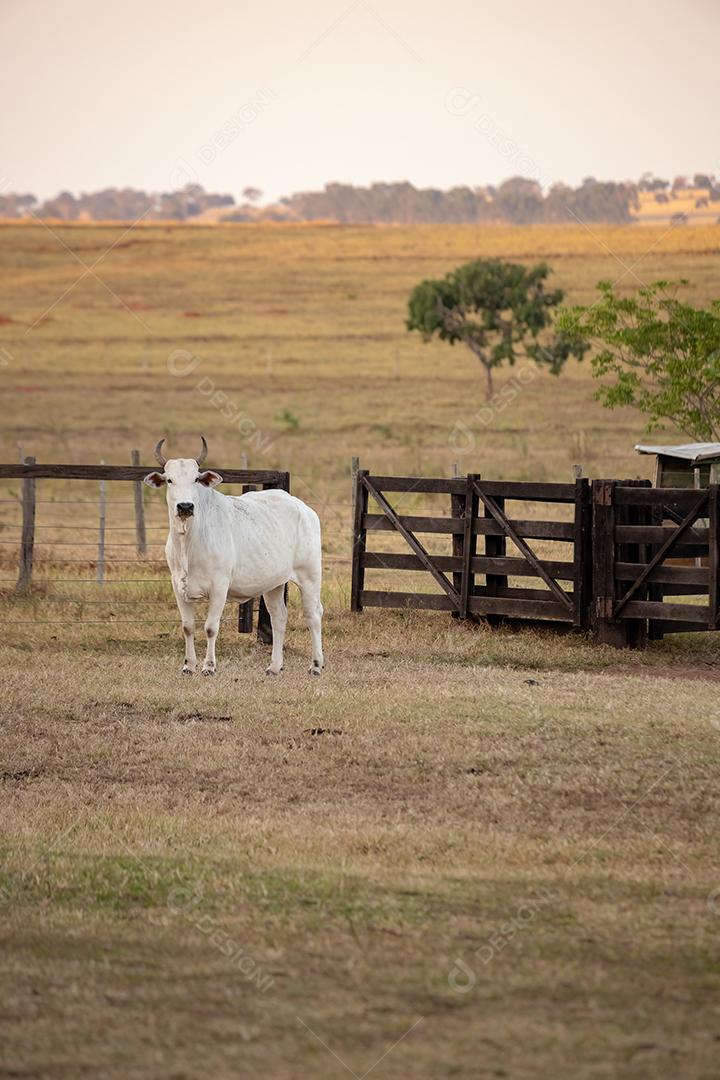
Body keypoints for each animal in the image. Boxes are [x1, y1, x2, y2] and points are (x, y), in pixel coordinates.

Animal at [144, 436, 323, 673]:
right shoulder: (178, 586)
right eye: (169, 480)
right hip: (274, 584)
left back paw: (316, 665)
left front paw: (209, 666)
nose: (185, 506)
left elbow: (210, 628)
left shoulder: (219, 586)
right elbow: (188, 627)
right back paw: (274, 667)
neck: (188, 542)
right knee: (279, 618)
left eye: (196, 479)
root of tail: (303, 508)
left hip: (310, 576)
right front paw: (188, 666)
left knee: (314, 614)